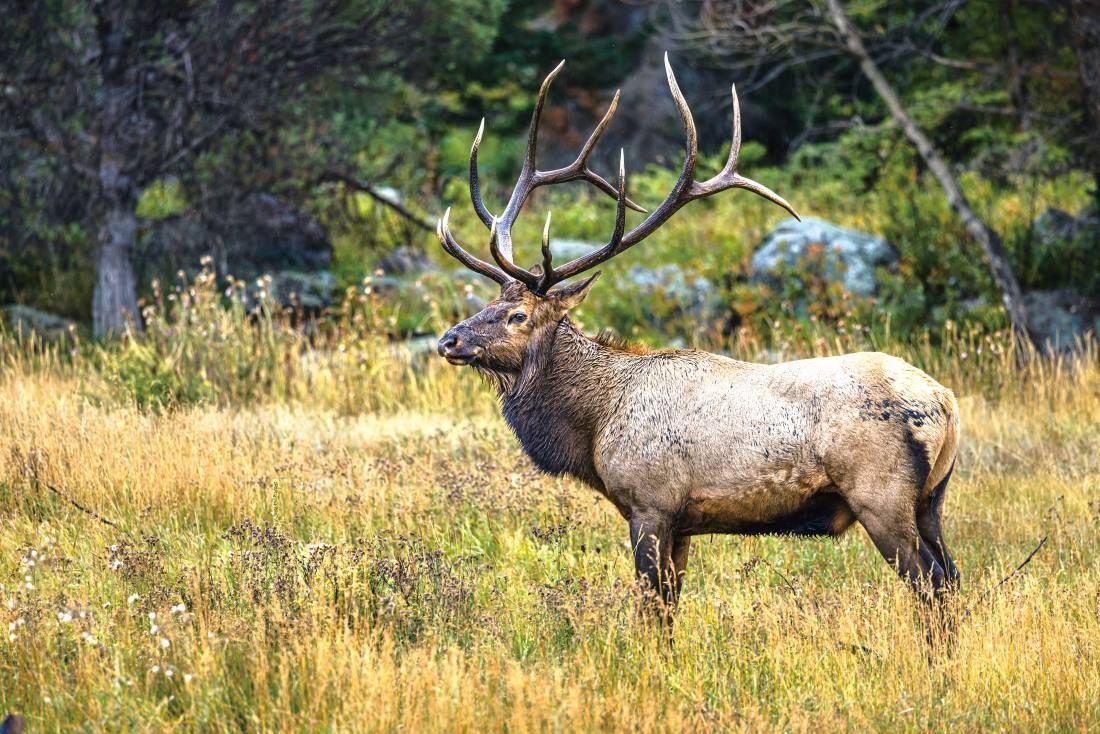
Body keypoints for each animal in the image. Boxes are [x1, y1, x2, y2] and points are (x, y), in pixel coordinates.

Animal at [435, 55, 960, 627]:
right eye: (489, 304)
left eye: (518, 315)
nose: (449, 340)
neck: (594, 424)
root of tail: (945, 403)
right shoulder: (682, 521)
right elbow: (669, 605)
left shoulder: (651, 503)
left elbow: (651, 607)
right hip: (931, 500)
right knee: (954, 579)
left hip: (880, 494)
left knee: (931, 586)